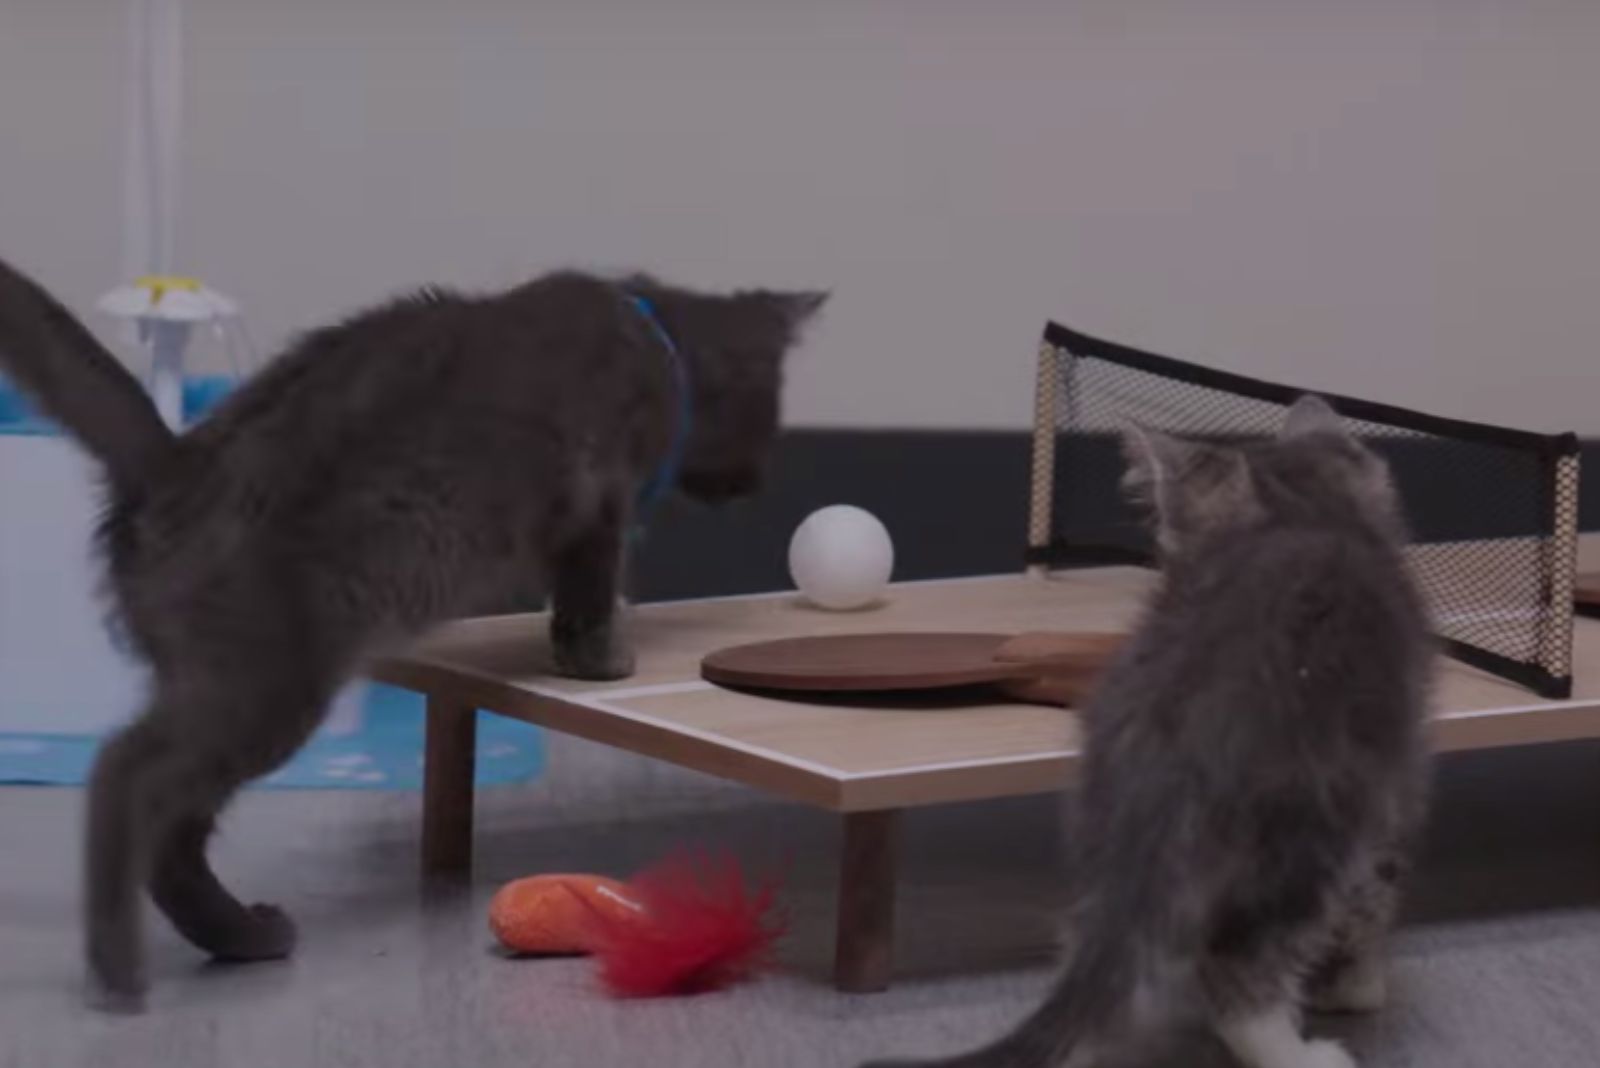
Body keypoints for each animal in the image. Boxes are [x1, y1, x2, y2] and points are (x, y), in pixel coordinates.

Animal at [0, 259, 825, 1010]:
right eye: (774, 416)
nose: (758, 483)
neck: (657, 341)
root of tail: (175, 464)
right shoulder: (598, 499)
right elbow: (590, 588)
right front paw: (602, 661)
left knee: (174, 826)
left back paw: (241, 937)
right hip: (265, 682)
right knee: (125, 775)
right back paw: (120, 971)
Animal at [870, 396, 1433, 1068]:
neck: (1305, 515)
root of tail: (1168, 760)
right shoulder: (1393, 778)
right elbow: (1377, 892)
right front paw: (1358, 987)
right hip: (1310, 826)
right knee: (1240, 966)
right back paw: (1295, 1050)